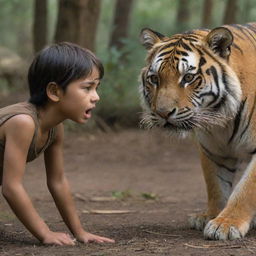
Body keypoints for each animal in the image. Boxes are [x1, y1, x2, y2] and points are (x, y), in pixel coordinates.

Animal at [139, 22, 256, 240]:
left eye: (188, 77)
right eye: (155, 79)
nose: (163, 113)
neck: (221, 119)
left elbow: (245, 190)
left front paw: (226, 224)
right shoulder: (212, 150)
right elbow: (216, 186)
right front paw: (211, 216)